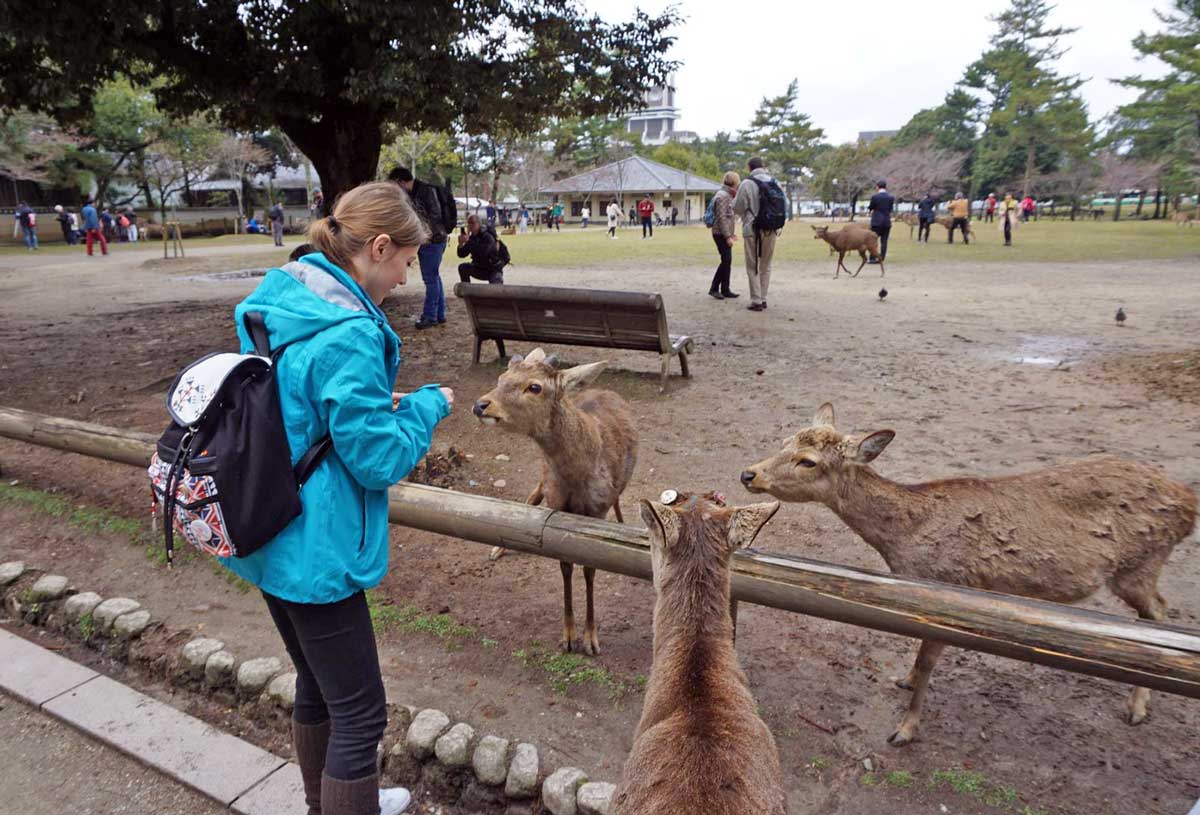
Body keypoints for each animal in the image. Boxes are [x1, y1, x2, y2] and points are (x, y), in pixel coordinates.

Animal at [470, 348, 638, 652]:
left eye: (534, 387)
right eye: (502, 377)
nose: (481, 405)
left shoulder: (595, 513)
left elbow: (590, 570)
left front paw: (591, 639)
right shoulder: (556, 508)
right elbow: (565, 566)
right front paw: (569, 636)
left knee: (619, 497)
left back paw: (622, 525)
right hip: (543, 477)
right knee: (532, 494)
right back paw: (497, 549)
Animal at [739, 400, 1200, 744]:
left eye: (808, 461)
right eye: (784, 441)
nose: (748, 473)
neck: (904, 538)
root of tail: (1188, 503)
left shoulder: (951, 585)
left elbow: (929, 661)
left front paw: (905, 729)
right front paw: (904, 680)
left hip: (1139, 564)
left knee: (1159, 612)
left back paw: (1137, 708)